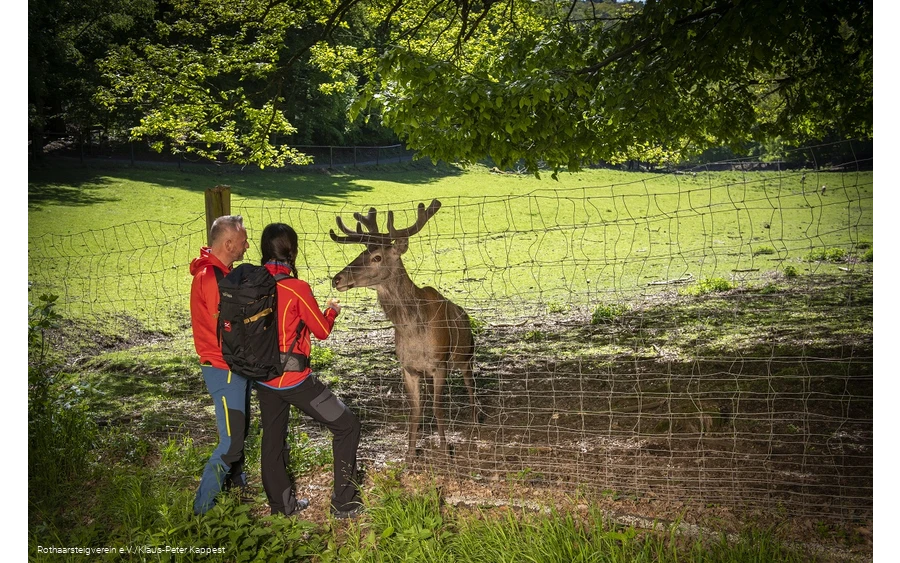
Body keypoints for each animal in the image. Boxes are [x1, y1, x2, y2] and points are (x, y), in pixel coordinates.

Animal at [330, 199, 478, 462]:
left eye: (377, 257)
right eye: (360, 253)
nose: (337, 279)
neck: (414, 332)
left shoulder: (439, 363)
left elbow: (438, 408)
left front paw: (445, 451)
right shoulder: (408, 368)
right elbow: (415, 409)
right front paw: (410, 455)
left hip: (466, 355)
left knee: (471, 387)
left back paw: (476, 425)